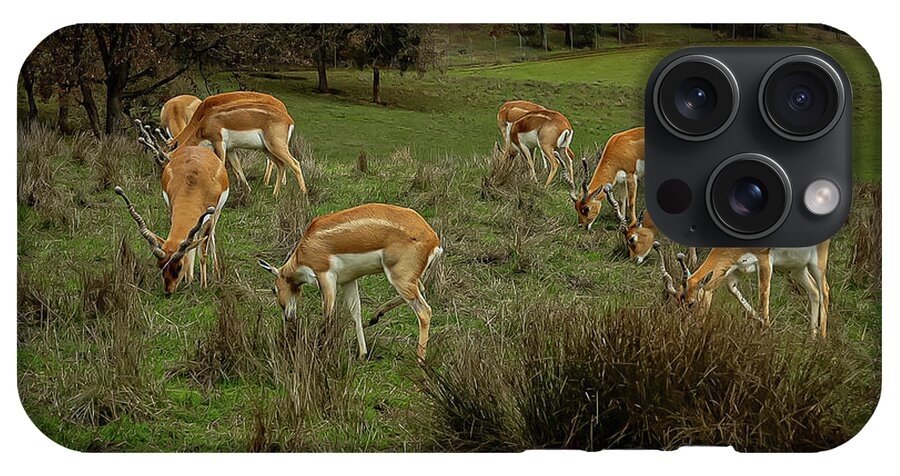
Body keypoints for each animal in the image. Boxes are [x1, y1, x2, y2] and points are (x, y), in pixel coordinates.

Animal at [116, 120, 229, 295]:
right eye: (161, 265)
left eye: (178, 266)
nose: (168, 291)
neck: (193, 185)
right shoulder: (172, 209)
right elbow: (190, 246)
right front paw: (189, 280)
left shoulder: (209, 217)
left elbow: (202, 251)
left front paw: (203, 285)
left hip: (216, 214)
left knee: (210, 238)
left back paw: (216, 271)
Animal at [168, 91, 306, 196]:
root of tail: (289, 119)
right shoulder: (230, 149)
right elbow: (237, 167)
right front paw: (246, 189)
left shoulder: (219, 143)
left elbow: (222, 165)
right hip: (267, 149)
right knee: (281, 165)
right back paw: (275, 194)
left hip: (276, 147)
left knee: (295, 163)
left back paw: (303, 194)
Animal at [257, 203, 443, 363]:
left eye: (274, 289)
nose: (288, 317)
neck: (306, 247)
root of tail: (433, 239)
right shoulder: (348, 281)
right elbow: (355, 312)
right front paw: (362, 354)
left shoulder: (325, 276)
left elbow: (328, 314)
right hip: (407, 279)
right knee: (421, 290)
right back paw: (375, 316)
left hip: (399, 278)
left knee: (424, 311)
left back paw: (420, 360)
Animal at [656, 240, 831, 337]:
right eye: (677, 303)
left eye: (691, 303)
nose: (684, 328)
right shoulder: (735, 271)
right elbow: (735, 293)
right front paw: (764, 326)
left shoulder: (765, 262)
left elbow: (763, 300)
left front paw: (766, 332)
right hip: (797, 268)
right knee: (814, 291)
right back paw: (811, 338)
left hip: (817, 263)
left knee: (825, 290)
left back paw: (822, 341)